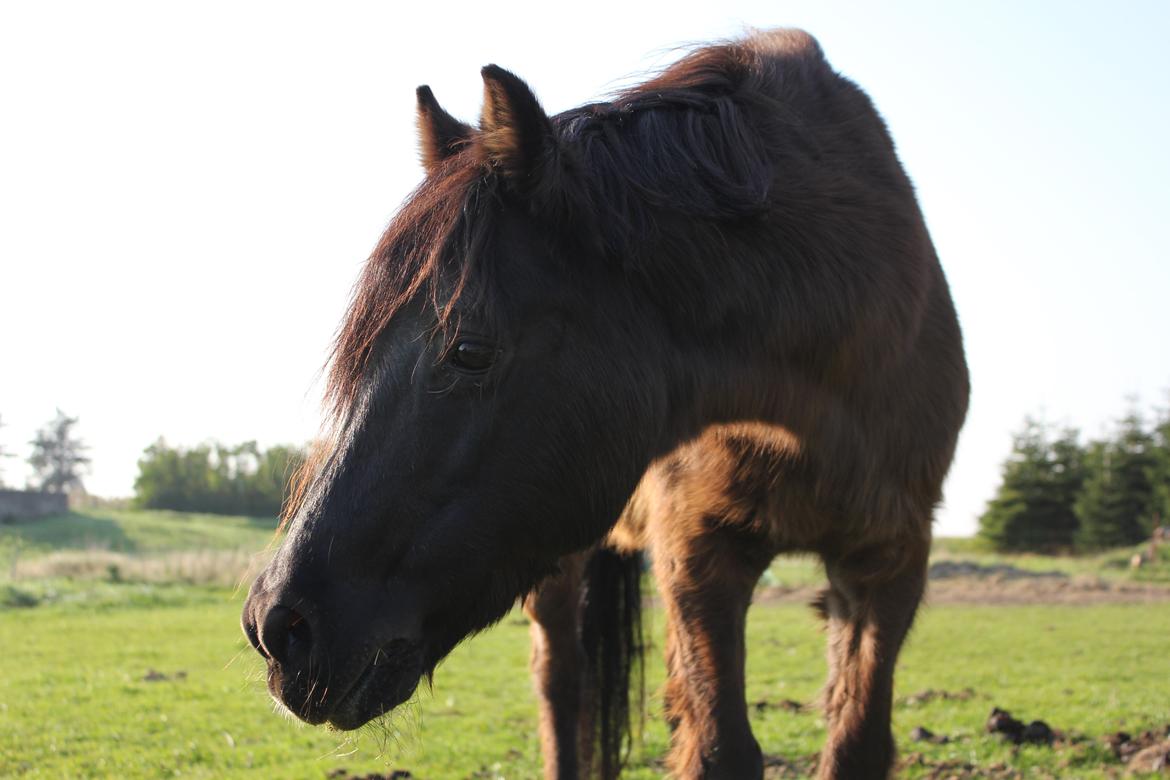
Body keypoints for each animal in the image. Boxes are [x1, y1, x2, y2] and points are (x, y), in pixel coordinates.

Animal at [239, 27, 968, 776]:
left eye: (469, 349)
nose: (278, 627)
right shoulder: (698, 553)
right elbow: (719, 746)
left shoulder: (889, 562)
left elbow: (855, 743)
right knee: (560, 685)